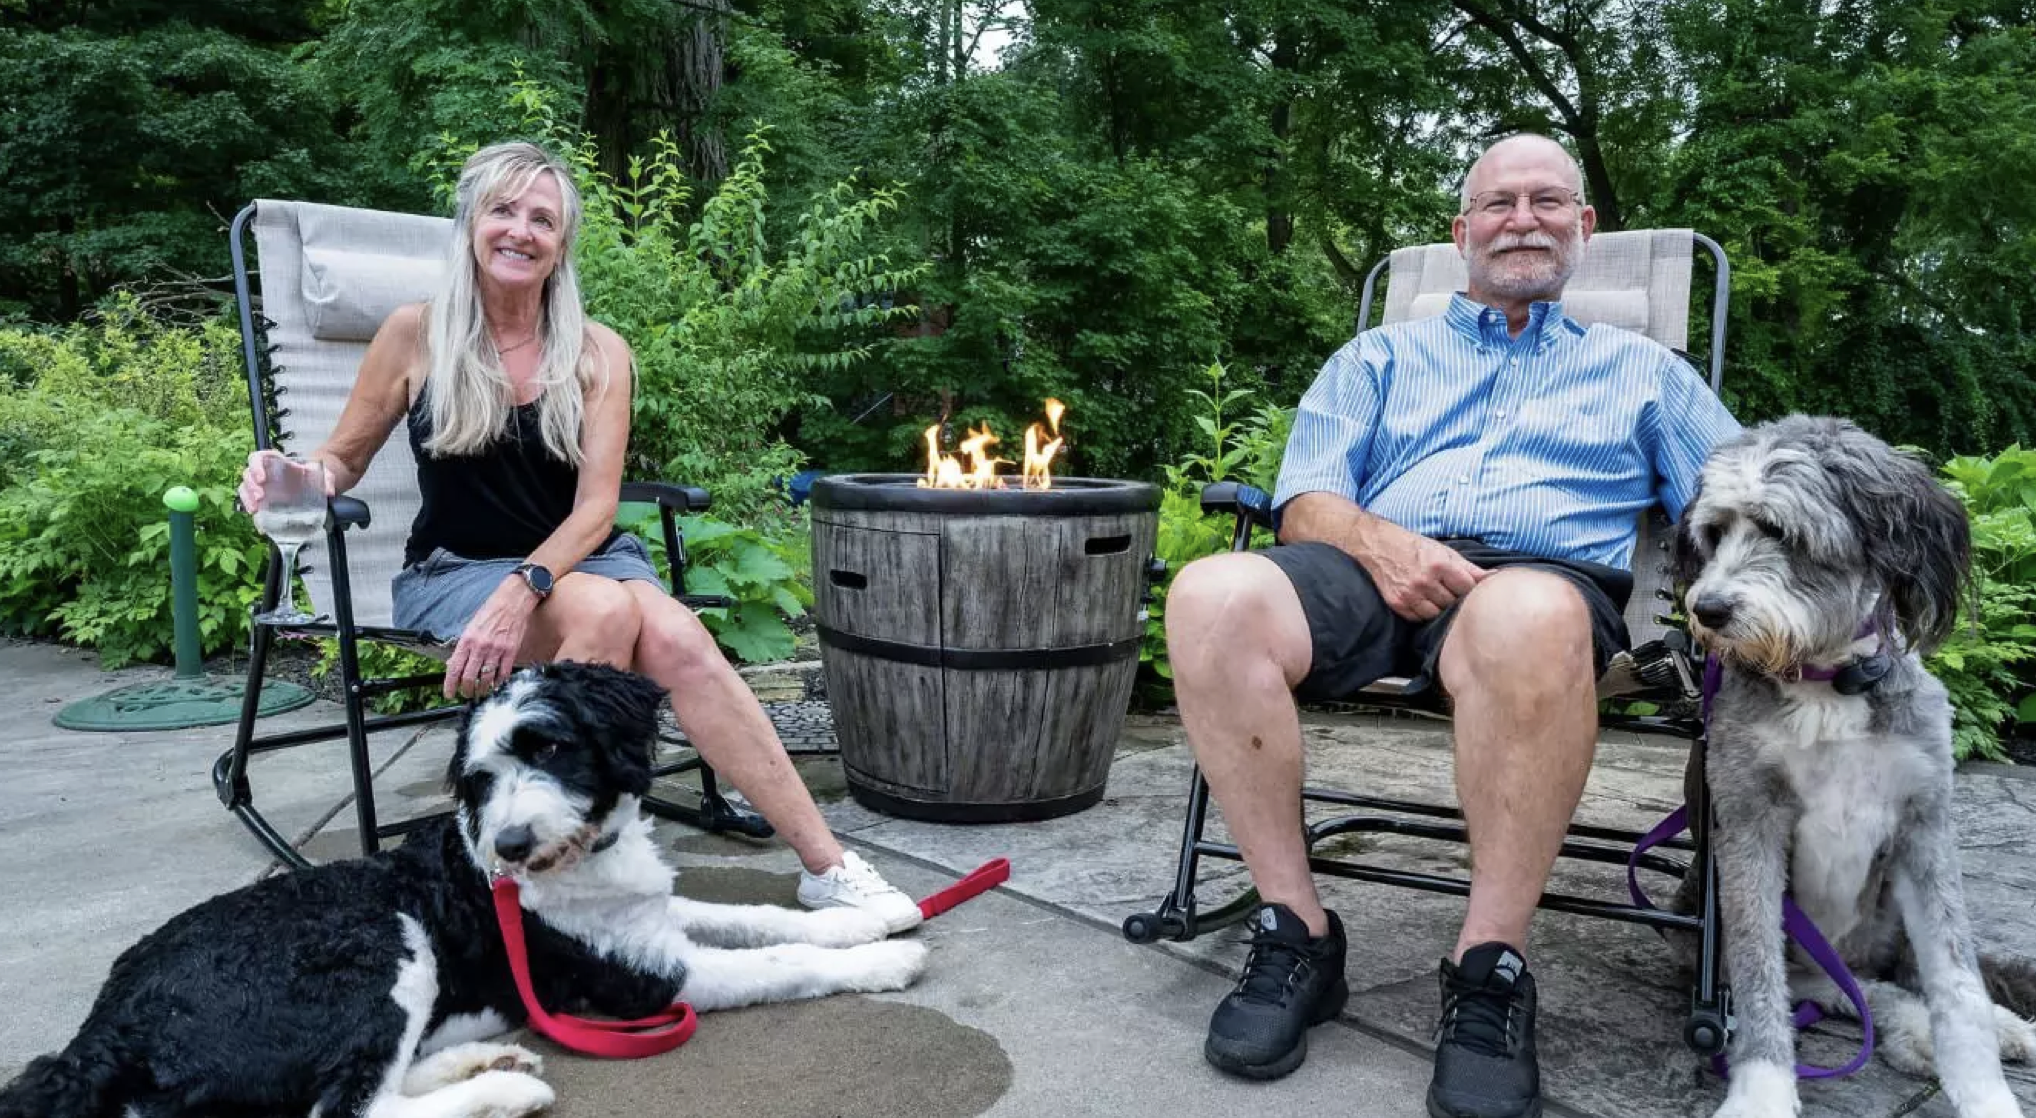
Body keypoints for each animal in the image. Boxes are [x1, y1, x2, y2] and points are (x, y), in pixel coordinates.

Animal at [3, 663, 928, 1115]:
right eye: (480, 780)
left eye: (548, 747)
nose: (510, 849)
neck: (586, 858)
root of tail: (102, 1032)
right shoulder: (646, 979)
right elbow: (781, 965)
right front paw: (884, 965)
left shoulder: (654, 920)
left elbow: (757, 917)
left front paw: (868, 921)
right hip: (388, 943)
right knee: (349, 1110)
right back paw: (504, 1089)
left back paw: (484, 1056)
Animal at [1677, 413, 2027, 1115]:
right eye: (1715, 532)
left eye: (1782, 532)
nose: (1708, 610)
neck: (1826, 681)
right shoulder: (1748, 827)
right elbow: (1757, 977)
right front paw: (1762, 1092)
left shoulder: (1926, 826)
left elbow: (1959, 982)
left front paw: (1985, 1093)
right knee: (1845, 989)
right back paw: (1908, 1031)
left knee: (1901, 978)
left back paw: (1997, 1027)